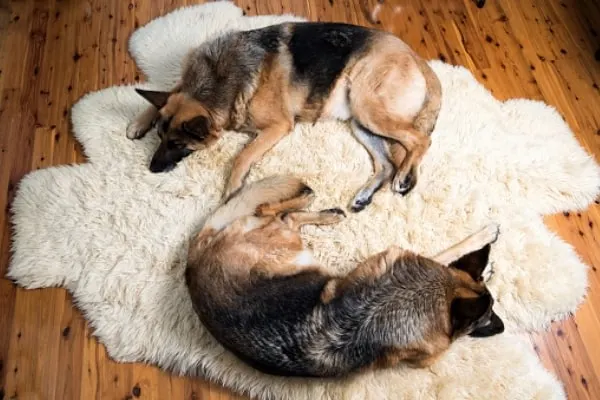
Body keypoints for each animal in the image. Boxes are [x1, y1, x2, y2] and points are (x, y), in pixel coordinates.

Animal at [185, 176, 504, 378]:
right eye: (486, 318)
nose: (501, 328)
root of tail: (193, 262)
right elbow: (447, 252)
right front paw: (483, 239)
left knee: (282, 215)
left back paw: (326, 213)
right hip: (285, 242)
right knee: (273, 211)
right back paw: (311, 200)